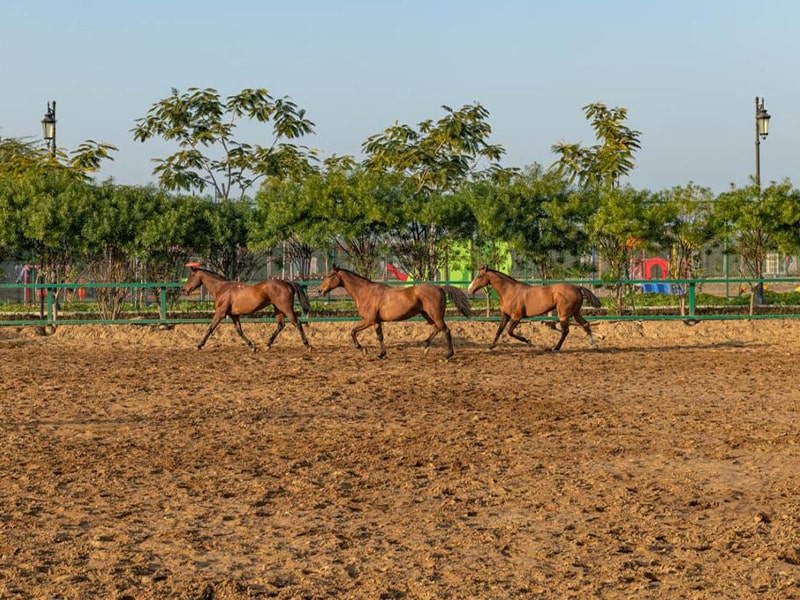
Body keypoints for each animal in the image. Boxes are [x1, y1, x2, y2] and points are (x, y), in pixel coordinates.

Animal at [318, 266, 472, 358]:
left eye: (330, 275)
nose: (320, 291)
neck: (365, 293)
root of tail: (440, 288)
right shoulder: (375, 322)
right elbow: (361, 333)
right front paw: (370, 351)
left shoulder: (370, 321)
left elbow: (368, 334)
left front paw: (373, 352)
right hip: (427, 316)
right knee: (437, 329)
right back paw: (425, 347)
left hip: (436, 316)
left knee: (446, 330)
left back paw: (448, 354)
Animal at [468, 266, 600, 352]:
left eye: (480, 276)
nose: (469, 289)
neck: (510, 292)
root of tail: (577, 287)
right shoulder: (505, 315)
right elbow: (499, 330)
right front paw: (491, 346)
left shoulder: (516, 317)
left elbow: (509, 332)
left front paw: (528, 341)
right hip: (575, 313)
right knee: (585, 324)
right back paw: (593, 344)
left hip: (563, 314)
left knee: (565, 331)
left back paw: (555, 348)